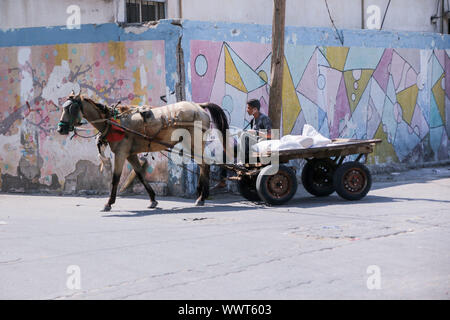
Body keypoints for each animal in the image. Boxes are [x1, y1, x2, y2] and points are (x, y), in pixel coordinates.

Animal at [57, 92, 229, 211]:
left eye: (71, 108)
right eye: (63, 107)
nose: (60, 129)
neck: (113, 122)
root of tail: (199, 106)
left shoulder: (121, 154)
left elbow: (115, 178)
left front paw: (108, 203)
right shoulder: (130, 154)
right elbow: (140, 174)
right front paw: (153, 199)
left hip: (194, 142)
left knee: (204, 165)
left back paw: (201, 197)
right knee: (203, 165)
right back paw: (202, 195)